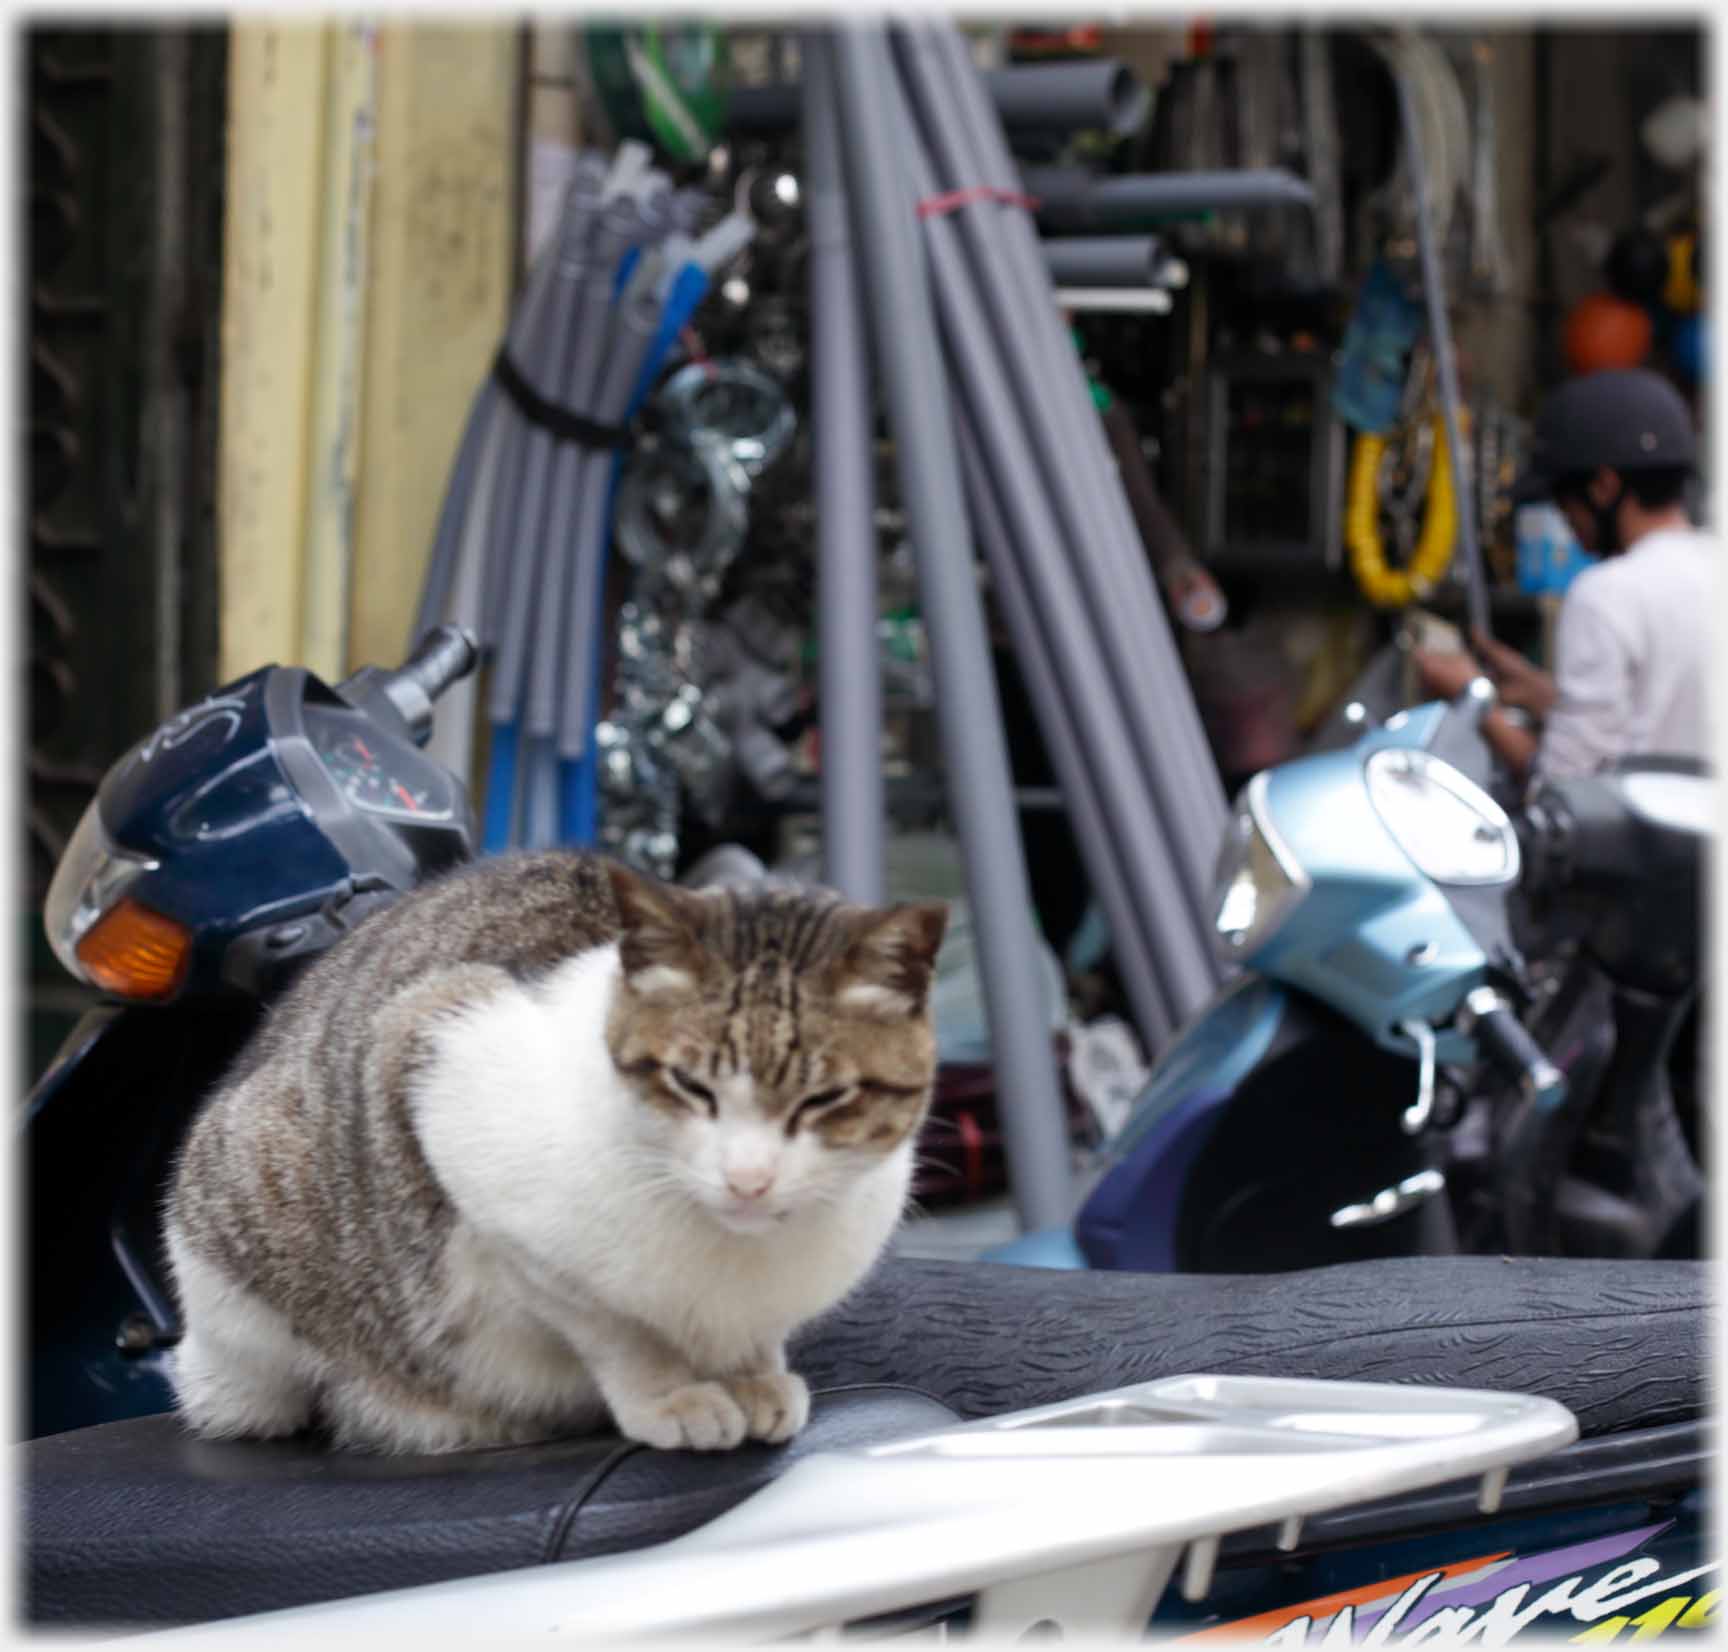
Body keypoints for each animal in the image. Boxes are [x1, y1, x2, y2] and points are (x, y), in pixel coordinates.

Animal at [162, 857, 946, 1451]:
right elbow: (616, 1334)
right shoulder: (438, 1064)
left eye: (826, 1099)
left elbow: (758, 1337)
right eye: (690, 1086)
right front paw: (670, 1397)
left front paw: (753, 1376)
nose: (748, 1179)